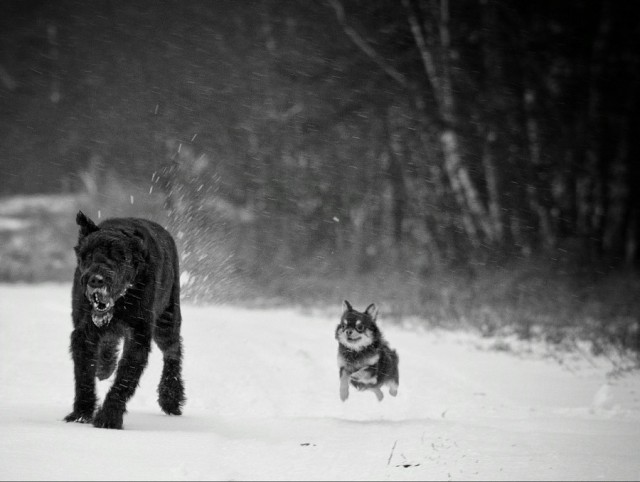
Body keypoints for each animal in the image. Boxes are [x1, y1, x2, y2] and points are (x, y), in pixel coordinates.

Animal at [64, 211, 185, 430]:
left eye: (118, 256)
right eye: (87, 255)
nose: (96, 279)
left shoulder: (138, 335)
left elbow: (126, 377)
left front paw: (109, 417)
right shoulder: (84, 333)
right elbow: (84, 375)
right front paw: (81, 414)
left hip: (167, 320)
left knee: (173, 351)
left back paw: (171, 397)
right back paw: (104, 368)